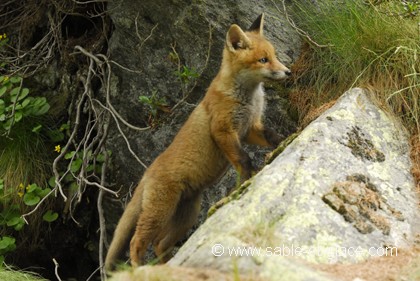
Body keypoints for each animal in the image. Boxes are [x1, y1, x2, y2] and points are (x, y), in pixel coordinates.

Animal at [104, 13, 292, 270]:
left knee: (160, 244)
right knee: (137, 241)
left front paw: (288, 140)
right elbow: (243, 159)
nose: (288, 72)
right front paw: (246, 180)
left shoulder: (250, 129)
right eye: (263, 60)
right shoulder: (223, 131)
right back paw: (138, 268)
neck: (248, 98)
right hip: (161, 211)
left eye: (274, 56)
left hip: (187, 215)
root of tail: (147, 172)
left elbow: (273, 137)